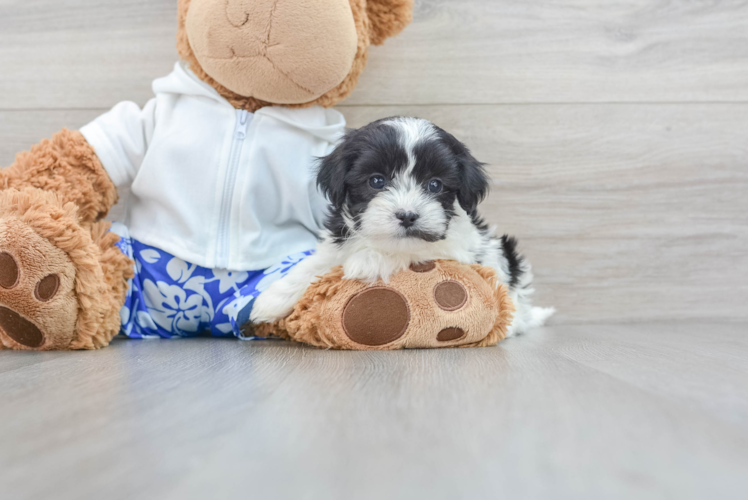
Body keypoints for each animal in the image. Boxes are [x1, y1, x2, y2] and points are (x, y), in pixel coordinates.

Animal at [254, 116, 552, 336]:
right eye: (377, 181)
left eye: (435, 185)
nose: (408, 216)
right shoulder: (338, 241)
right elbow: (313, 265)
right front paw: (269, 300)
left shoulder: (455, 249)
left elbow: (411, 251)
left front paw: (367, 261)